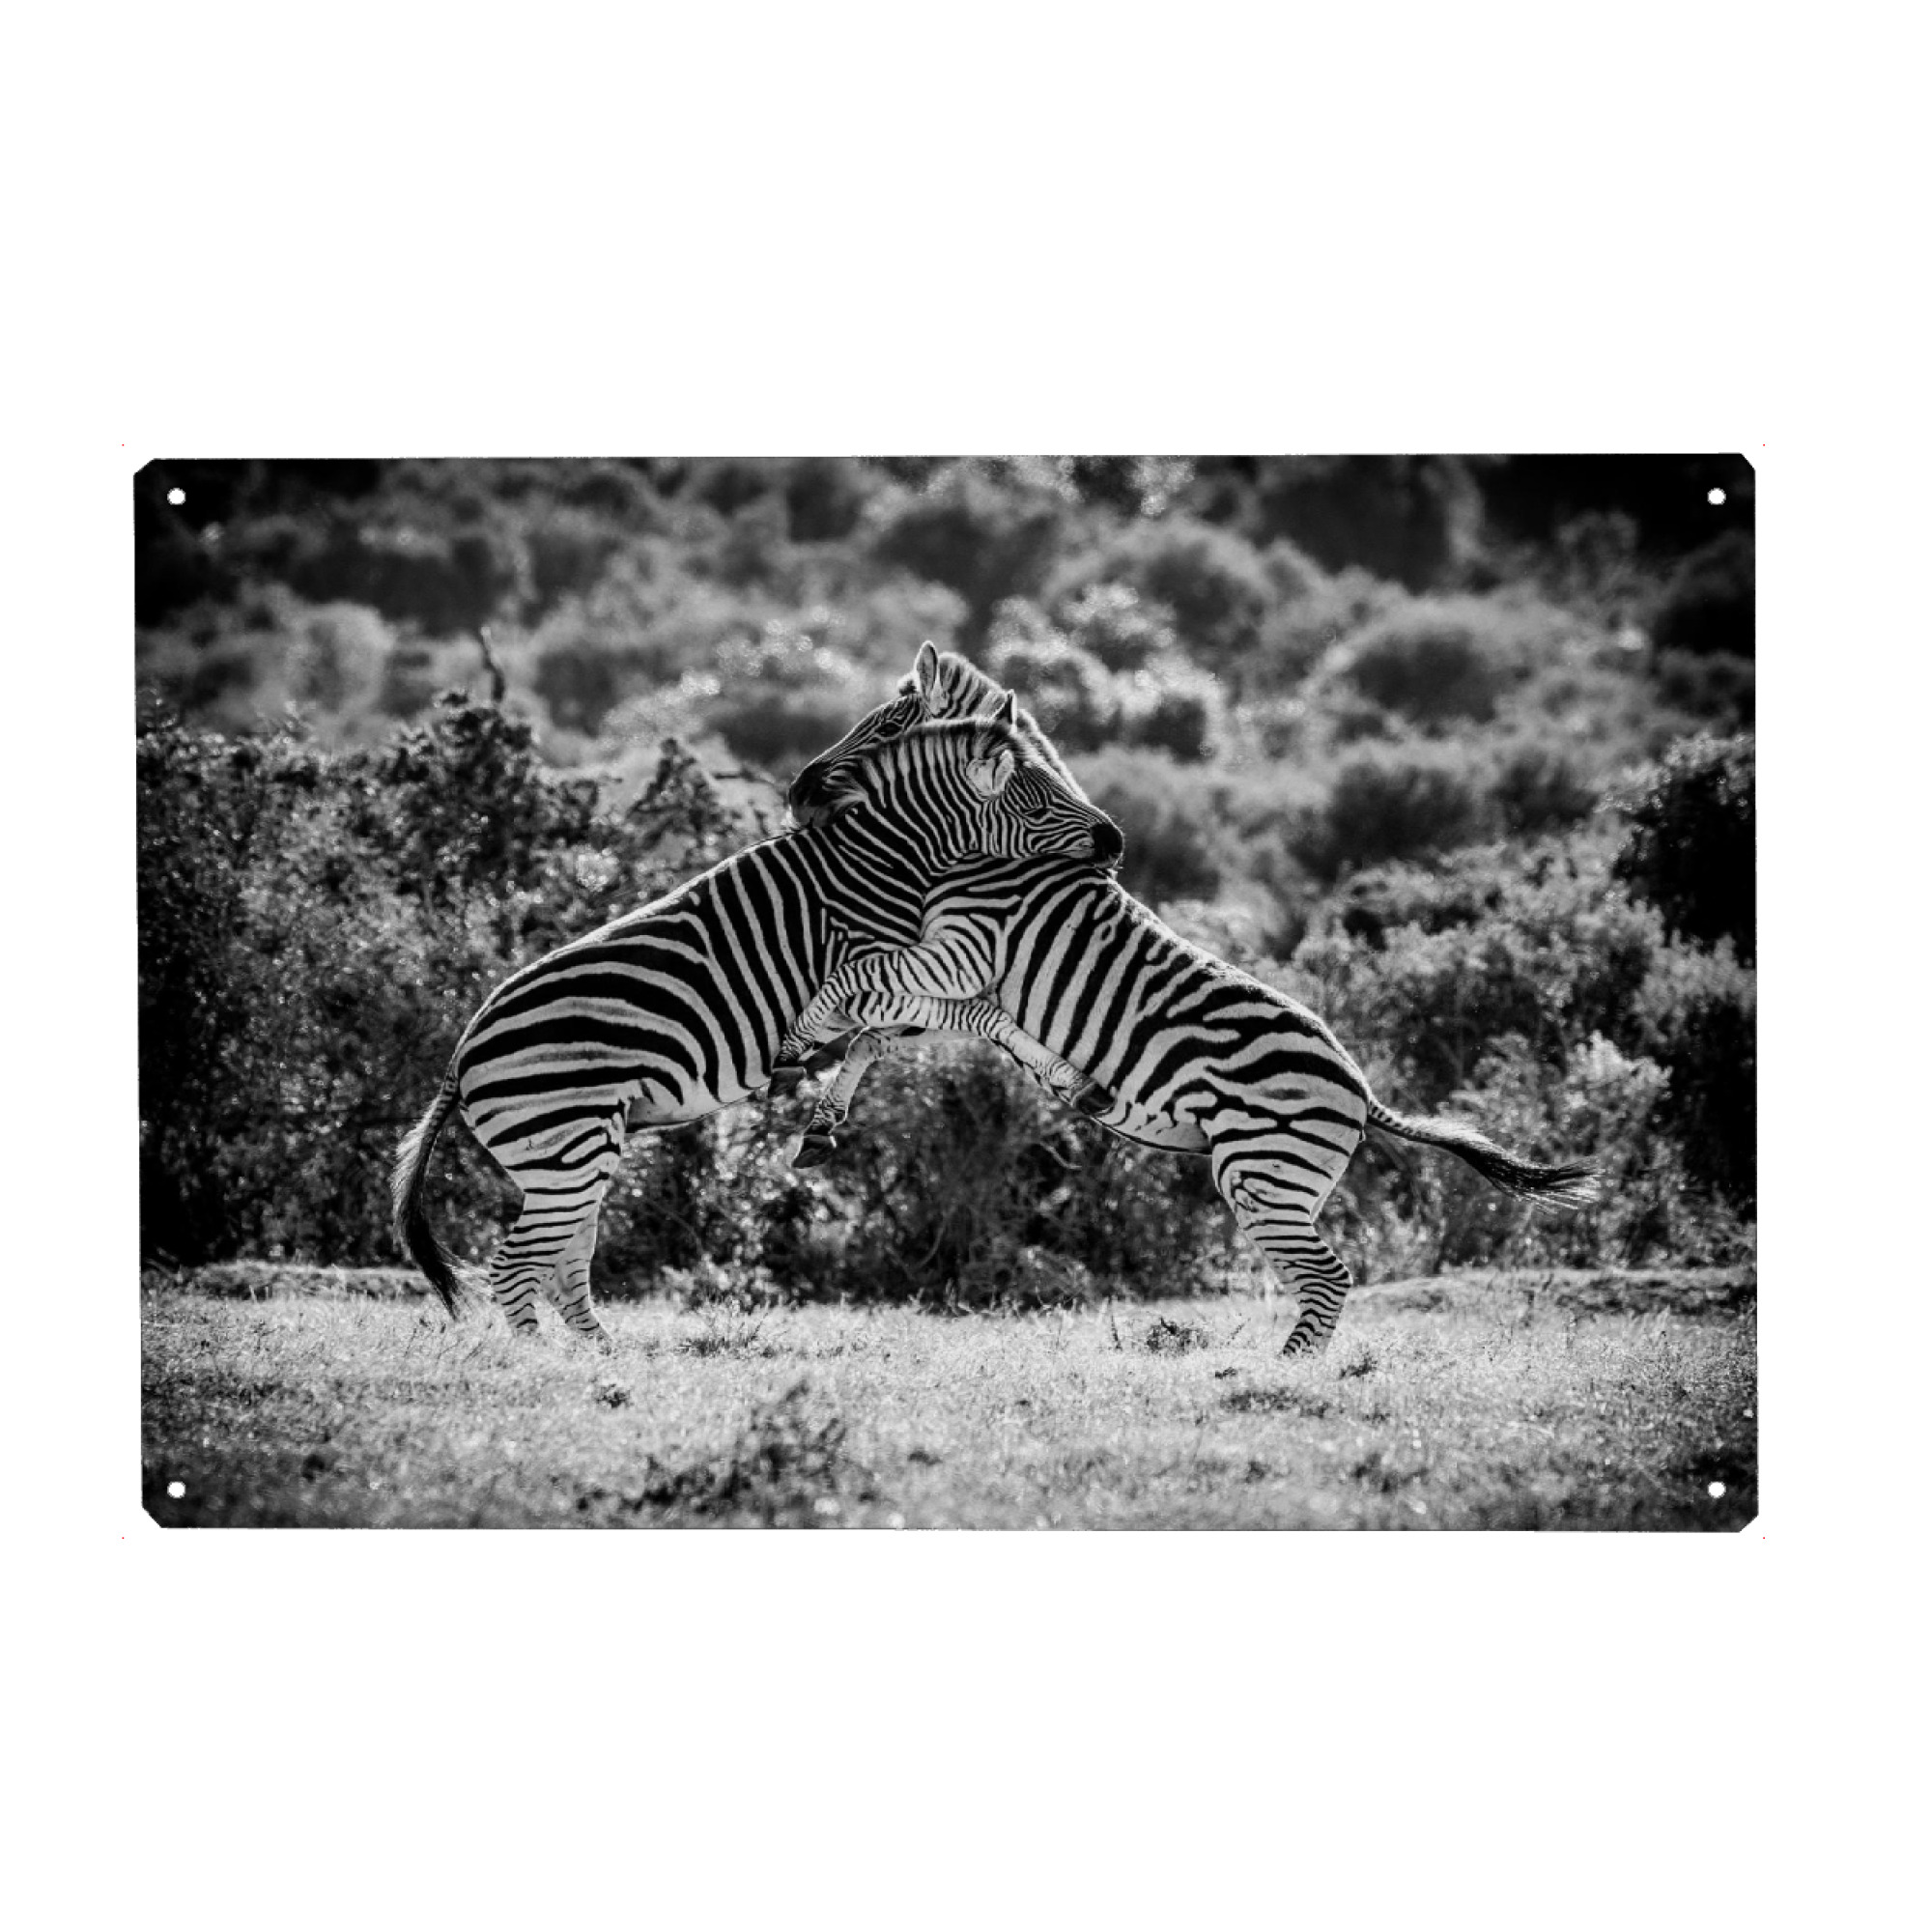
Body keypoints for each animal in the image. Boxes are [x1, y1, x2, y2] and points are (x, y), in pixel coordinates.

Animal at [390, 709, 1122, 1347]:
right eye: (1037, 807)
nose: (1115, 842)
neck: (885, 862)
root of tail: (459, 1060)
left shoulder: (882, 985)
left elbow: (924, 1031)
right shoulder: (870, 968)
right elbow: (967, 1015)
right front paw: (1068, 1076)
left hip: (567, 1158)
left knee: (563, 1260)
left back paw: (600, 1351)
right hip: (565, 1147)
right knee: (515, 1266)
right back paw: (542, 1361)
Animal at [775, 659, 1597, 1356]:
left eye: (888, 724)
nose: (796, 793)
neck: (998, 853)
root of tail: (1363, 1093)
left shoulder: (965, 952)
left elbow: (854, 987)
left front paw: (799, 1039)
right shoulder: (959, 982)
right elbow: (875, 1035)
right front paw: (821, 1120)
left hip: (1260, 1174)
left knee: (1327, 1278)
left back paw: (1280, 1375)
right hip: (1279, 1182)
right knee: (1321, 1279)